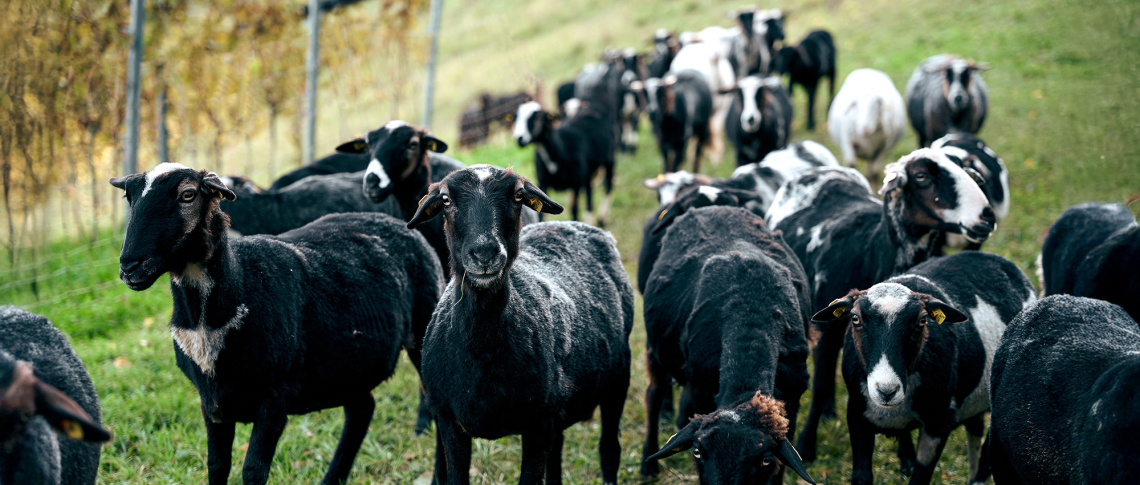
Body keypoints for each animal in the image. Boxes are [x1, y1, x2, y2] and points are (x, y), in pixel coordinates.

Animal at [110, 163, 444, 485]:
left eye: (188, 195)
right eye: (129, 196)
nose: (129, 266)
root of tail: (398, 223)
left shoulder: (275, 397)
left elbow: (253, 471)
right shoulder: (211, 402)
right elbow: (217, 466)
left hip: (422, 325)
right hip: (349, 364)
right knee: (362, 410)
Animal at [405, 164, 634, 485]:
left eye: (517, 196)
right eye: (447, 200)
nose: (485, 253)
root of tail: (571, 224)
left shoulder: (539, 423)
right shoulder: (449, 420)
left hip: (618, 376)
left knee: (610, 448)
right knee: (557, 453)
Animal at [639, 206, 815, 484]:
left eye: (764, 459)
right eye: (697, 451)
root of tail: (715, 207)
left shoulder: (791, 403)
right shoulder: (702, 391)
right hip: (656, 348)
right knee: (654, 393)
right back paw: (648, 465)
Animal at [767, 150, 998, 462]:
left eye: (966, 169)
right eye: (921, 176)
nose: (986, 215)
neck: (875, 250)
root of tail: (823, 170)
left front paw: (906, 455)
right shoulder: (828, 328)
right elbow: (822, 384)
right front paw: (806, 447)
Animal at [811, 251, 1036, 484]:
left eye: (921, 321)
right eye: (855, 319)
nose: (886, 391)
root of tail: (991, 257)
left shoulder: (938, 422)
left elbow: (919, 478)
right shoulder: (856, 415)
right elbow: (861, 477)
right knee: (975, 429)